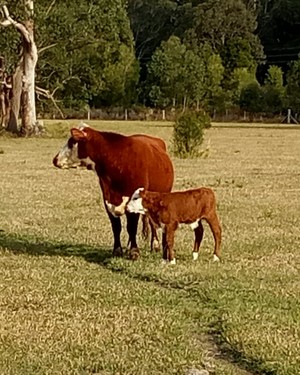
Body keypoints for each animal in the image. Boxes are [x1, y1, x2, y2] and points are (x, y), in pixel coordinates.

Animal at [51, 125, 173, 260]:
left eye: (71, 142)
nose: (55, 159)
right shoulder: (107, 200)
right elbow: (116, 227)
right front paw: (117, 250)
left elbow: (132, 227)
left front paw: (134, 251)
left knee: (153, 223)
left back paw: (155, 245)